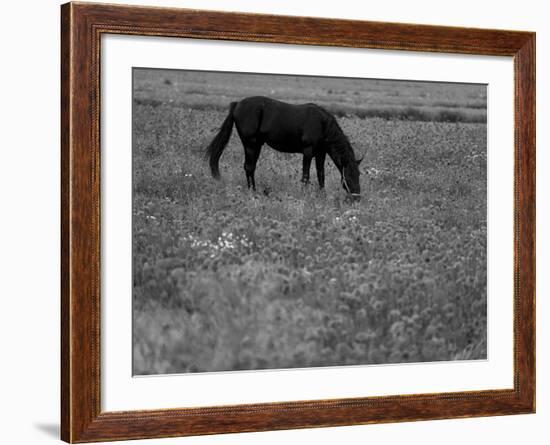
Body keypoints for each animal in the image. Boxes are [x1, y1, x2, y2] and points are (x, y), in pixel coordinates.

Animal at [205, 96, 364, 199]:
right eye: (348, 174)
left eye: (359, 174)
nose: (356, 197)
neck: (321, 124)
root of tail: (237, 104)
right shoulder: (308, 152)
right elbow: (306, 176)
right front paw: (305, 196)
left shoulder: (321, 153)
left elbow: (321, 175)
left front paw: (322, 196)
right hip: (250, 144)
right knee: (248, 167)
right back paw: (253, 192)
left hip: (257, 145)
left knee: (251, 167)